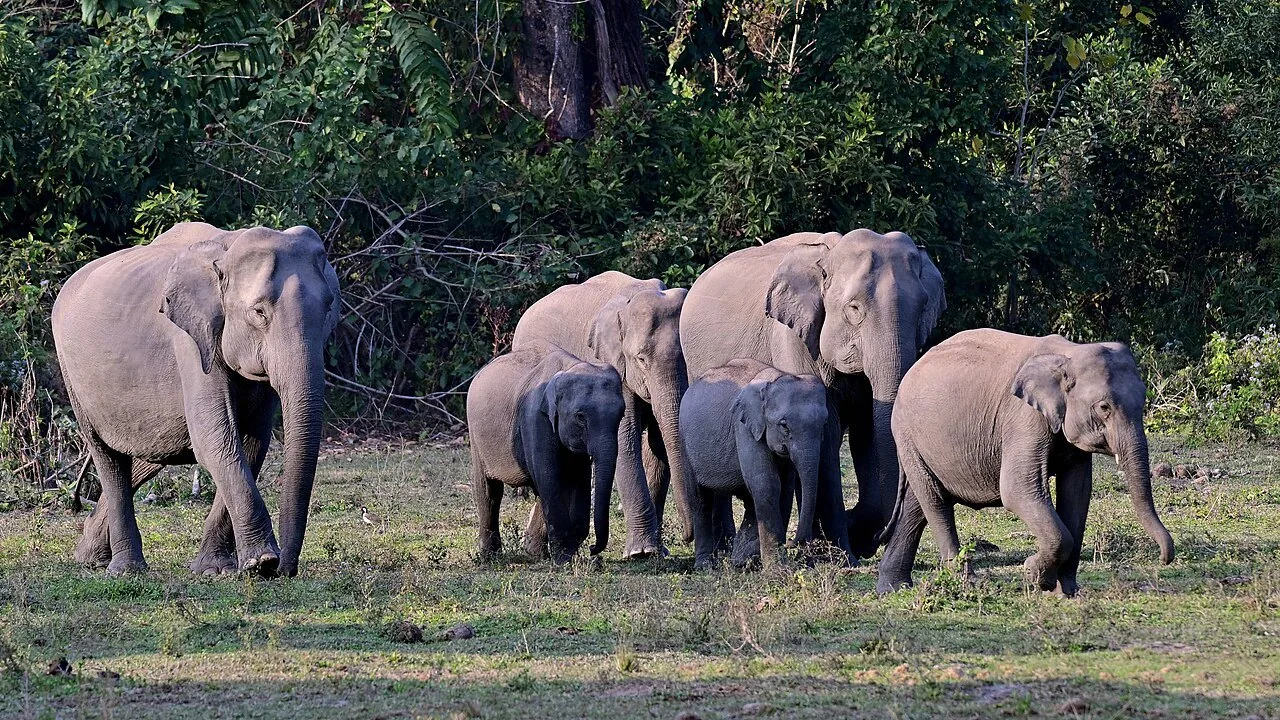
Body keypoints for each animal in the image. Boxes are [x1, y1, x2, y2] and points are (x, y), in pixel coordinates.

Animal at [51, 222, 341, 577]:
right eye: (259, 312)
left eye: (328, 306)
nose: (285, 569)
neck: (226, 251)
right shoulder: (189, 339)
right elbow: (216, 440)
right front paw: (260, 562)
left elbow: (252, 442)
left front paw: (216, 569)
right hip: (73, 376)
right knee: (108, 456)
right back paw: (125, 569)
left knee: (153, 455)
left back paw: (90, 555)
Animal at [467, 340, 625, 563]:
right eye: (580, 417)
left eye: (621, 414)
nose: (593, 549)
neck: (568, 367)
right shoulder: (534, 419)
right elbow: (549, 476)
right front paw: (565, 558)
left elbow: (579, 479)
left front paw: (572, 551)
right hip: (476, 436)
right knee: (489, 490)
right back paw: (490, 557)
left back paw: (535, 553)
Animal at [512, 271, 690, 558]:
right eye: (640, 359)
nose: (687, 537)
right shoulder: (611, 364)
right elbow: (625, 442)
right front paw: (642, 553)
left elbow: (657, 444)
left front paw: (656, 552)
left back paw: (533, 550)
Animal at [680, 359, 852, 571]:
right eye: (783, 425)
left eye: (824, 423)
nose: (791, 542)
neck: (774, 379)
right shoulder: (743, 427)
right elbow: (767, 484)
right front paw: (776, 569)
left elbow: (784, 489)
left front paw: (755, 562)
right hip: (685, 442)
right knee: (700, 499)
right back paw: (705, 566)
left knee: (747, 500)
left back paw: (740, 560)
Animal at [876, 329, 1176, 596]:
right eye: (1104, 407)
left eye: (1143, 401)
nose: (1164, 559)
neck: (1068, 354)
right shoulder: (1023, 417)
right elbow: (1017, 490)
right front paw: (1035, 575)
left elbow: (1077, 494)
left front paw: (1068, 592)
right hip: (906, 433)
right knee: (935, 501)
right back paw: (968, 584)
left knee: (919, 504)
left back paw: (893, 588)